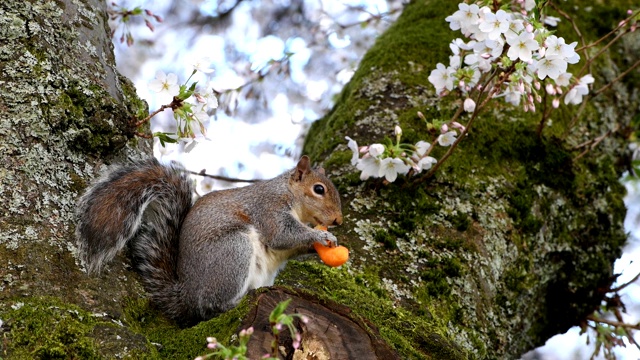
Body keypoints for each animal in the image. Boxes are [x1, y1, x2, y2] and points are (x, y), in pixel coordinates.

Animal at [75, 156, 342, 324]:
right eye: (319, 189)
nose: (338, 220)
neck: (290, 195)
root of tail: (187, 295)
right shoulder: (268, 209)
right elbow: (281, 235)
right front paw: (321, 235)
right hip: (233, 251)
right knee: (211, 307)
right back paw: (234, 303)